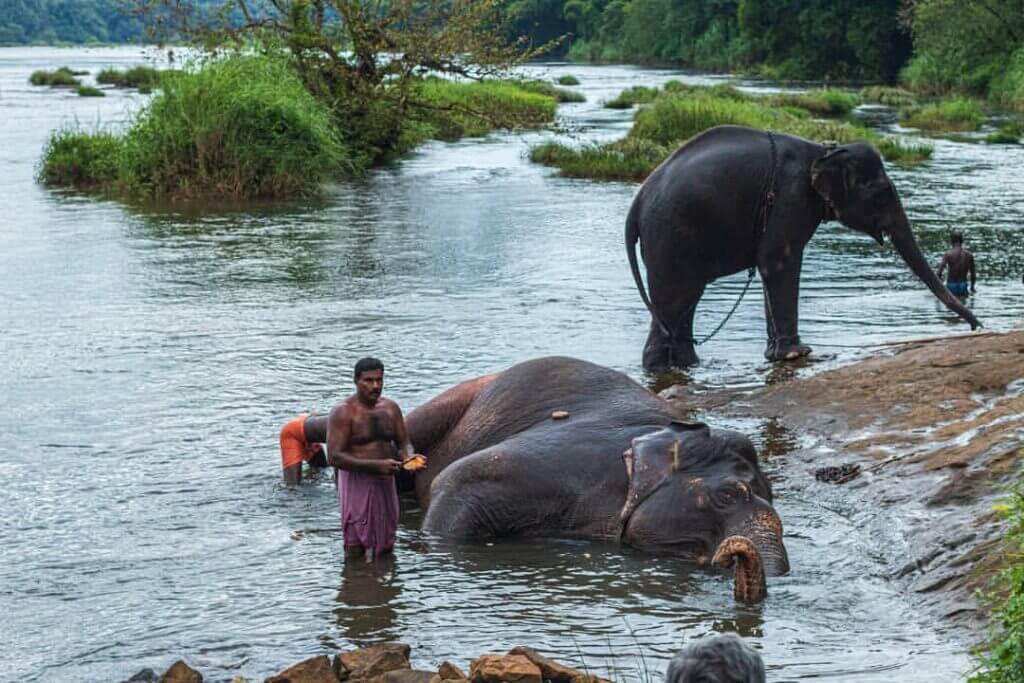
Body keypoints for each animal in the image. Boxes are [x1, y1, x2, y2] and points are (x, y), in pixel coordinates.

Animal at [625, 124, 982, 370]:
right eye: (881, 194)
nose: (976, 326)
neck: (824, 151)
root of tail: (637, 204)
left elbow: (771, 266)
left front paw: (777, 355)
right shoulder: (791, 197)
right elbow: (778, 261)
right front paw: (798, 354)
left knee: (685, 301)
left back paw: (687, 364)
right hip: (670, 237)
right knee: (676, 299)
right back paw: (664, 367)